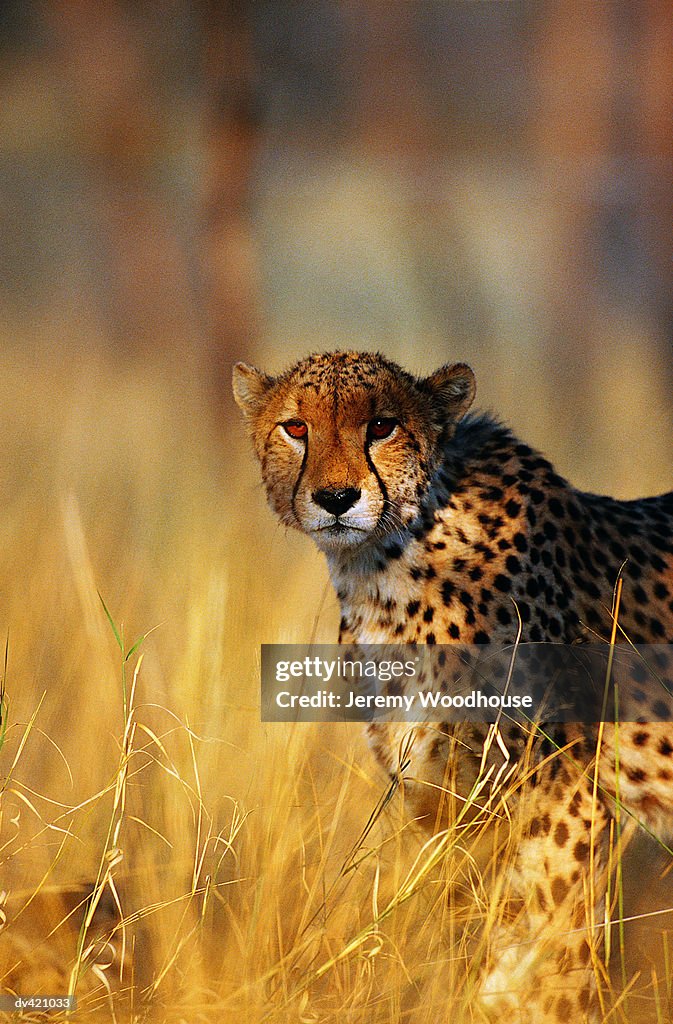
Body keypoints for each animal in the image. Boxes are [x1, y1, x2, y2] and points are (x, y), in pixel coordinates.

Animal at [232, 352, 671, 1024]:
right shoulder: (443, 802)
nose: (336, 498)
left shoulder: (562, 798)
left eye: (382, 426)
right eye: (295, 427)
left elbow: (551, 959)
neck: (386, 568)